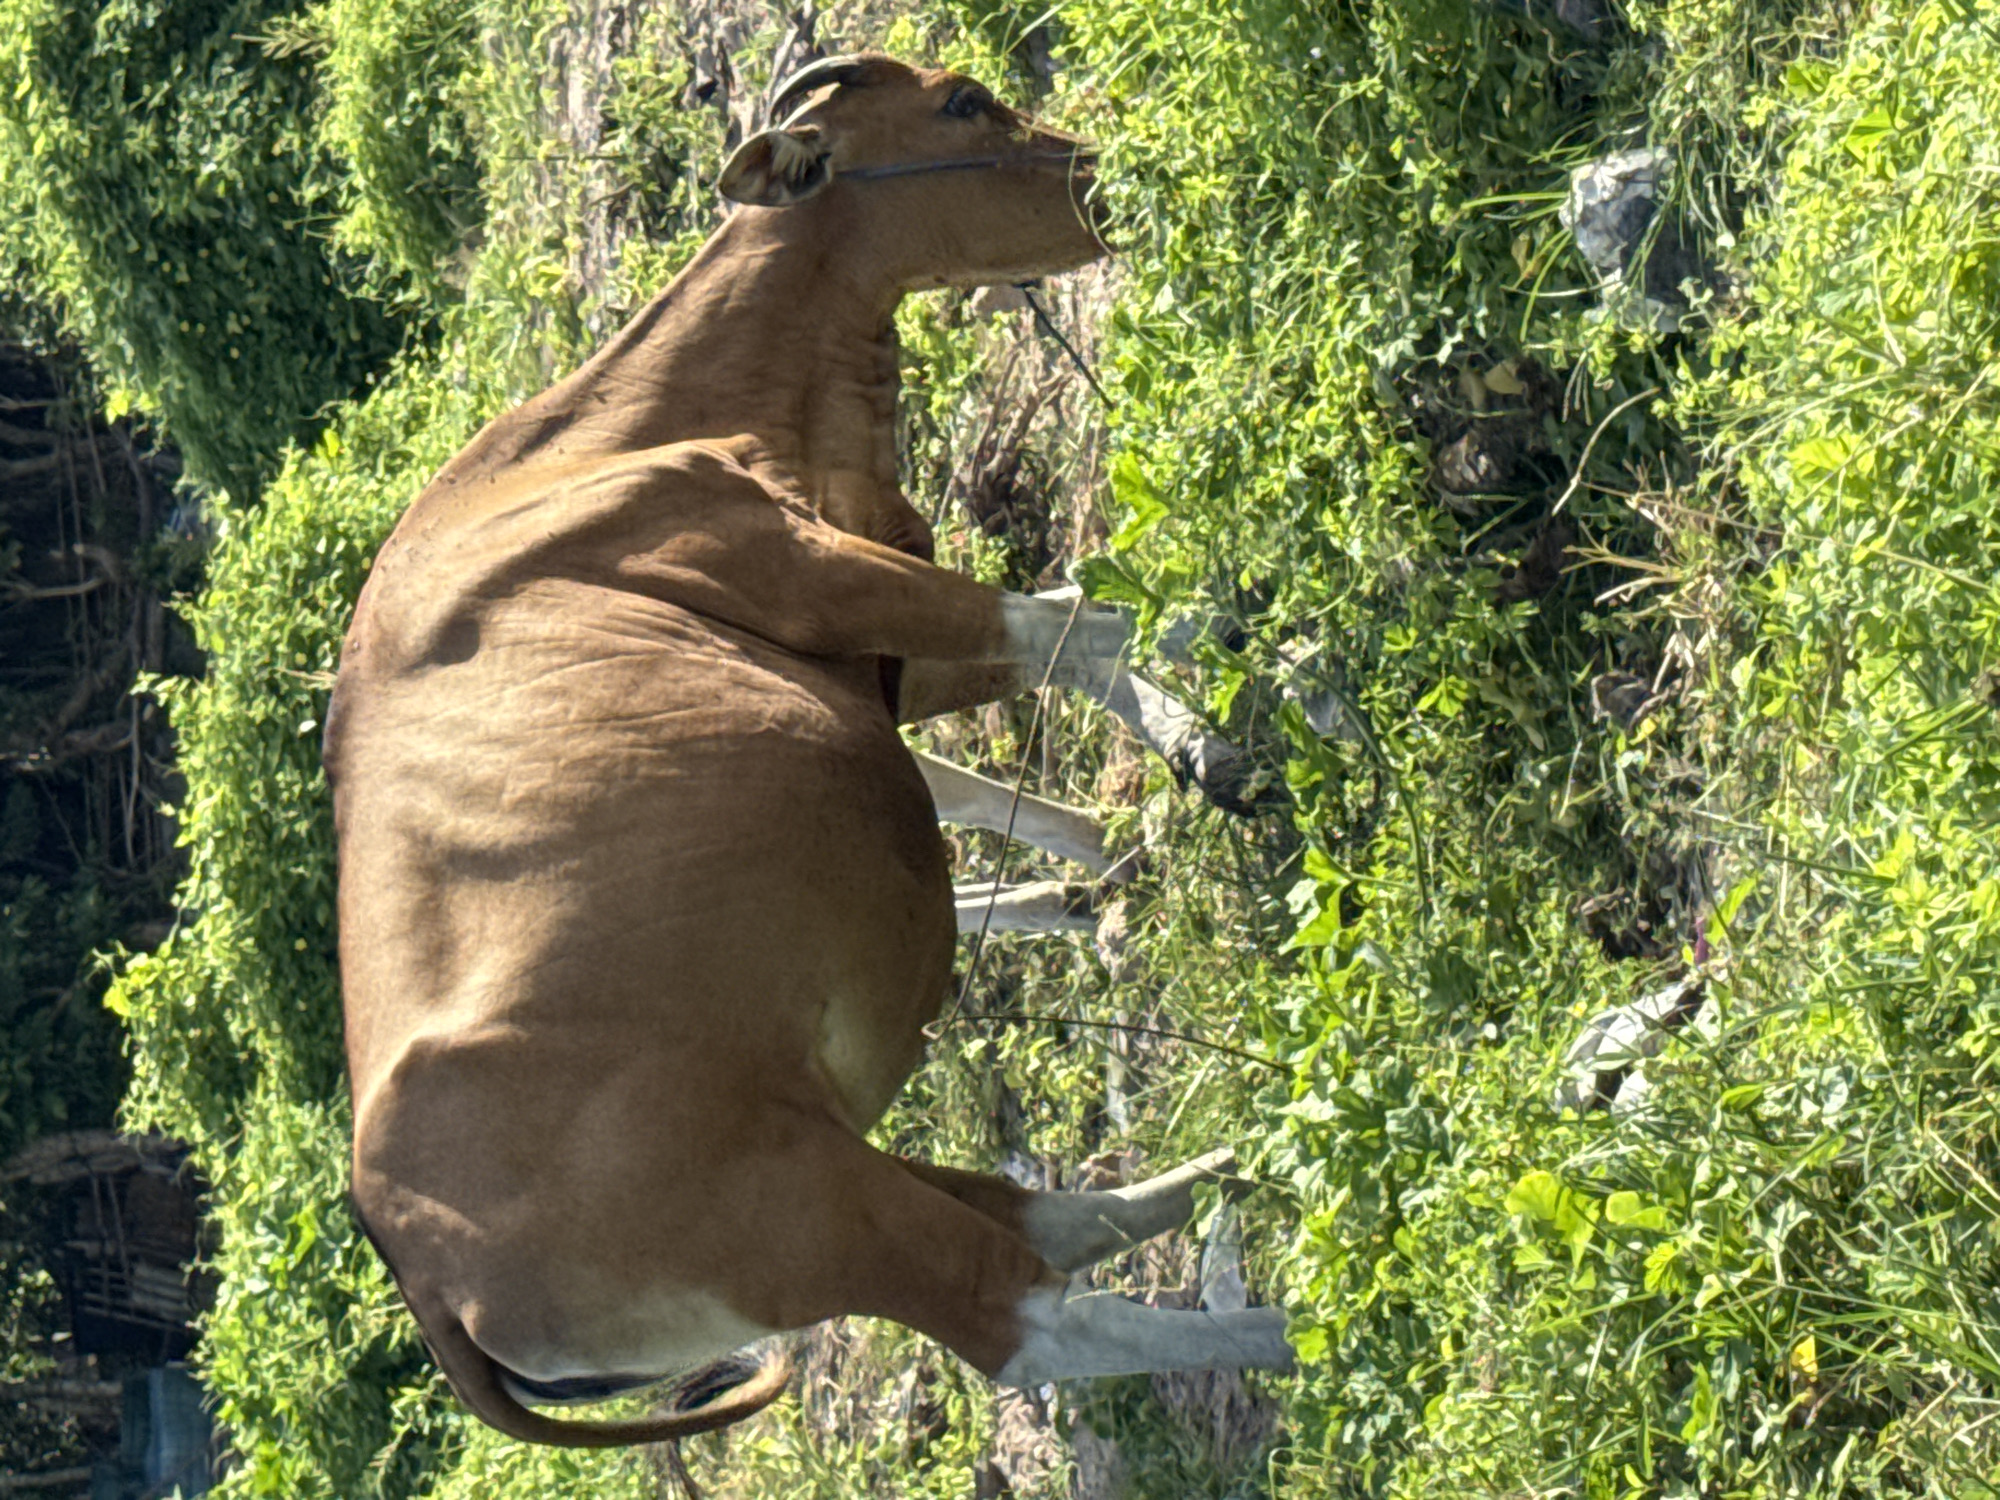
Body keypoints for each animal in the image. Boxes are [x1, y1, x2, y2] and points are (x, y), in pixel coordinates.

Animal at [327, 52, 1292, 1448]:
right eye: (959, 105)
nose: (1102, 172)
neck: (611, 440)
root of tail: (430, 1283)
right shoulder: (825, 578)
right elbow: (1084, 622)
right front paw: (1219, 723)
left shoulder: (866, 646)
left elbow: (1033, 673)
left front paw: (1122, 834)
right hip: (814, 1218)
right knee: (1035, 1323)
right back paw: (1309, 1329)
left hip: (830, 1148)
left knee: (1043, 1217)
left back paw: (1232, 1166)